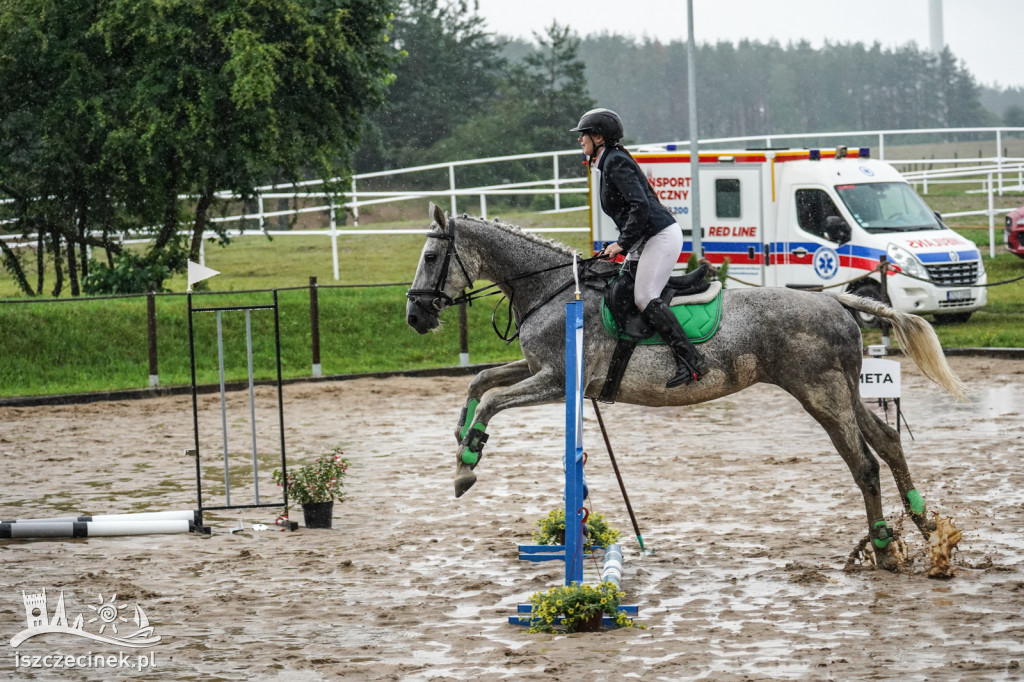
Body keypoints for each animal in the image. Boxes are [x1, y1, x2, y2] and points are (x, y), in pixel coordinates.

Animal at [405, 202, 966, 569]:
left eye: (431, 259)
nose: (416, 316)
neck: (551, 288)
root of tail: (835, 300)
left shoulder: (560, 380)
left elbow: (494, 400)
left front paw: (467, 464)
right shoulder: (540, 370)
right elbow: (482, 382)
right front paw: (460, 441)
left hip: (820, 395)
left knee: (864, 464)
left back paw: (885, 549)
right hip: (844, 391)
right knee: (887, 441)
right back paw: (922, 527)